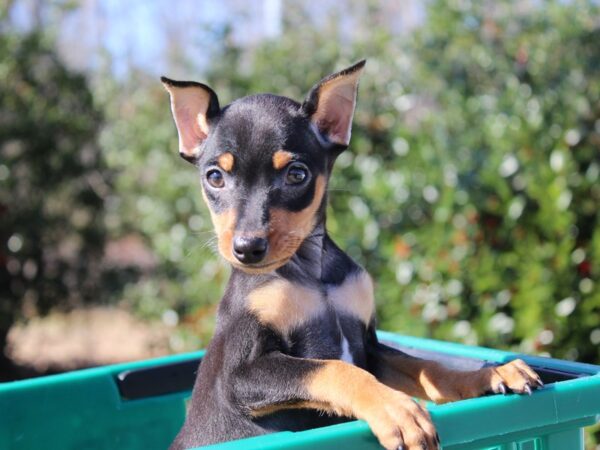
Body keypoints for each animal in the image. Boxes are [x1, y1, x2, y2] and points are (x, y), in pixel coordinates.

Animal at [161, 60, 544, 450]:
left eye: (296, 174)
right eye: (215, 177)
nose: (247, 249)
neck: (312, 274)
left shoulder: (371, 347)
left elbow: (426, 367)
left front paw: (490, 374)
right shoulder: (239, 376)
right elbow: (335, 369)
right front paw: (396, 410)